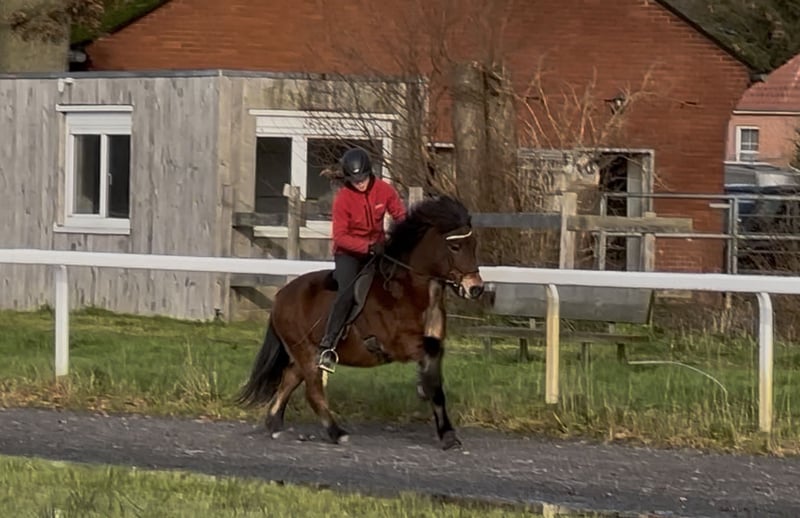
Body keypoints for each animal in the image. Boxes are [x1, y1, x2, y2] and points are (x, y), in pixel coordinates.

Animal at [236, 195, 484, 450]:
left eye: (473, 244)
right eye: (455, 247)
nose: (475, 288)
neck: (407, 291)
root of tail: (280, 297)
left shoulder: (433, 343)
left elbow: (436, 383)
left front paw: (446, 431)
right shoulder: (402, 344)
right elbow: (433, 380)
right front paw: (445, 429)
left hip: (304, 354)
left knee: (289, 379)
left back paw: (276, 425)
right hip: (305, 352)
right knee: (313, 391)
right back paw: (337, 433)